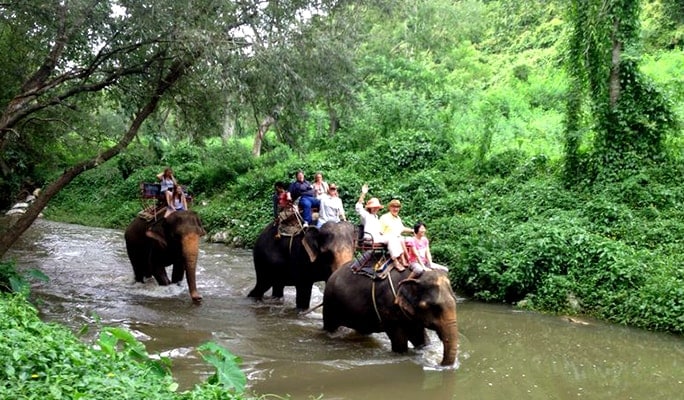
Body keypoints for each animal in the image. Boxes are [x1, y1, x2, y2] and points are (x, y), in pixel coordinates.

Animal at [322, 266, 460, 366]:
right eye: (434, 307)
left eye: (455, 300)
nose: (438, 364)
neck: (415, 277)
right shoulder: (388, 307)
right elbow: (400, 342)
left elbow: (420, 338)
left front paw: (424, 348)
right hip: (330, 304)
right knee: (330, 327)